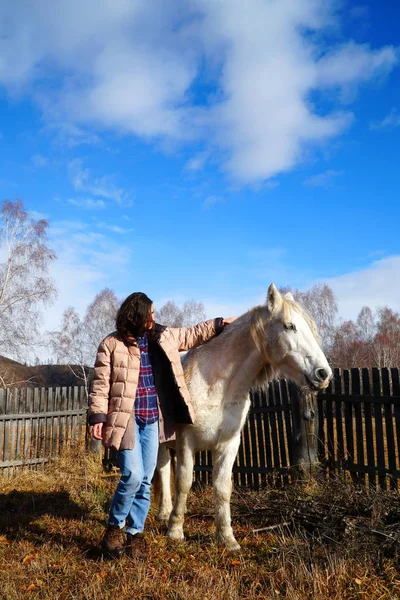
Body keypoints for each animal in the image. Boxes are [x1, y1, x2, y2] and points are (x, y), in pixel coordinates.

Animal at [156, 284, 332, 552]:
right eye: (289, 326)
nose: (323, 374)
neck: (216, 385)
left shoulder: (229, 444)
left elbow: (223, 488)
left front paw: (227, 538)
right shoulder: (187, 442)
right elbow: (184, 482)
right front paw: (175, 532)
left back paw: (165, 513)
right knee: (162, 472)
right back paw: (165, 515)